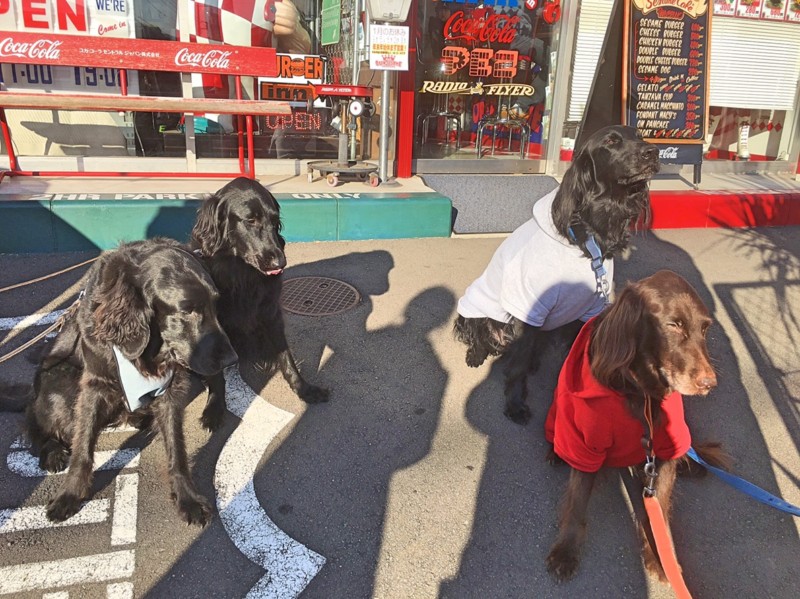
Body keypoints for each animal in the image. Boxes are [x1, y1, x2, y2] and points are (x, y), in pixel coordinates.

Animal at [25, 238, 238, 526]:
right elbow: (82, 446)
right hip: (57, 381)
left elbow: (177, 448)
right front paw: (69, 494)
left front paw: (187, 498)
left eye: (216, 305)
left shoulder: (169, 386)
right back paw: (53, 452)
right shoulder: (94, 384)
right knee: (34, 422)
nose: (231, 358)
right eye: (187, 310)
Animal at [190, 177, 329, 431]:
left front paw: (303, 389)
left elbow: (287, 357)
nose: (280, 262)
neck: (243, 275)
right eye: (250, 220)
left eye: (275, 221)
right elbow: (216, 376)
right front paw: (214, 408)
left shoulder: (272, 315)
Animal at [454, 125, 660, 425]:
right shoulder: (530, 308)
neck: (589, 237)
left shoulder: (587, 311)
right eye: (611, 141)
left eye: (640, 135)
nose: (653, 152)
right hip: (474, 310)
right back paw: (476, 354)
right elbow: (517, 367)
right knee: (480, 335)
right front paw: (516, 405)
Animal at [544, 270, 729, 582]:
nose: (709, 384)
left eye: (705, 329)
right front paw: (565, 552)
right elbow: (578, 499)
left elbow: (660, 506)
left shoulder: (666, 445)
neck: (638, 390)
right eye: (673, 325)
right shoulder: (586, 443)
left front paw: (660, 555)